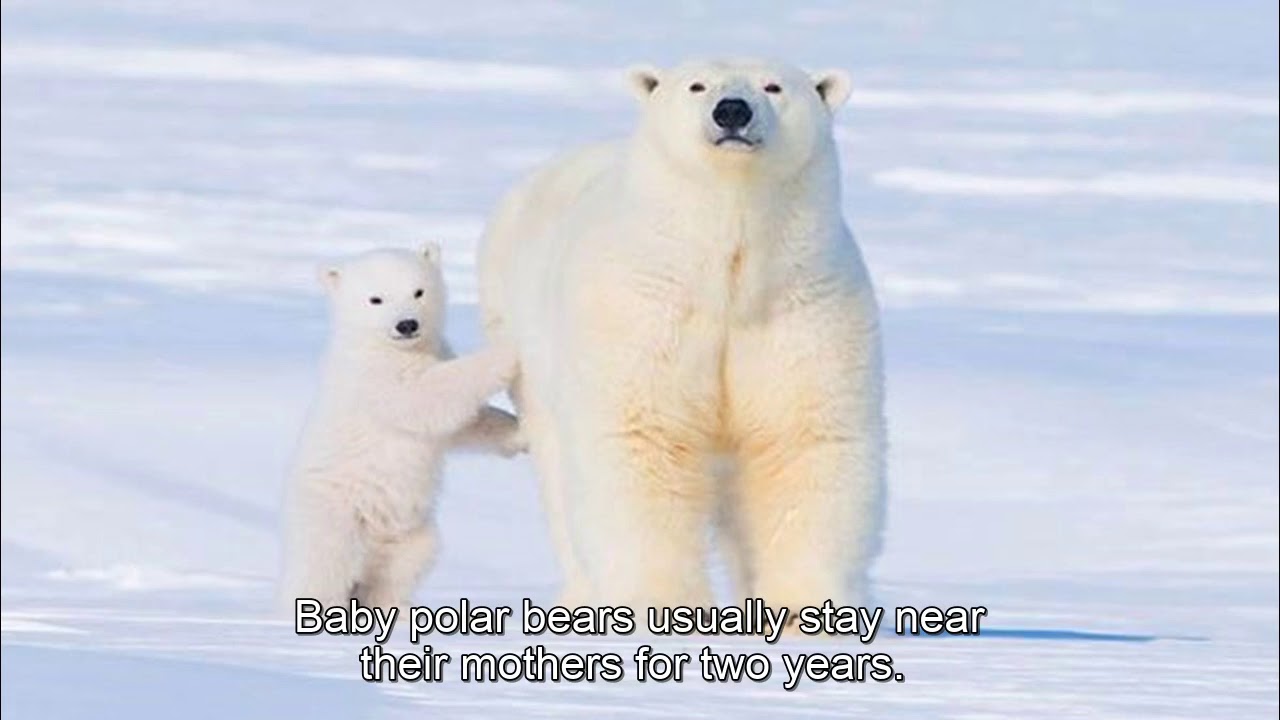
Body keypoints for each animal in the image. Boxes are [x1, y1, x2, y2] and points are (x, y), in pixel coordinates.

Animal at [280, 246, 522, 613]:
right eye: (376, 299)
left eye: (418, 291)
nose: (407, 324)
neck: (389, 348)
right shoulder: (374, 378)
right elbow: (424, 396)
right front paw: (505, 354)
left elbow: (461, 425)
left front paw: (519, 433)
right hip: (336, 512)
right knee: (326, 564)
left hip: (410, 533)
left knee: (403, 565)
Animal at [478, 58, 885, 615]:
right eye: (697, 85)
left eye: (773, 86)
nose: (732, 111)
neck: (726, 276)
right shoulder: (644, 309)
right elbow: (641, 440)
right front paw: (665, 607)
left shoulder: (801, 308)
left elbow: (802, 443)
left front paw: (806, 611)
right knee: (560, 478)